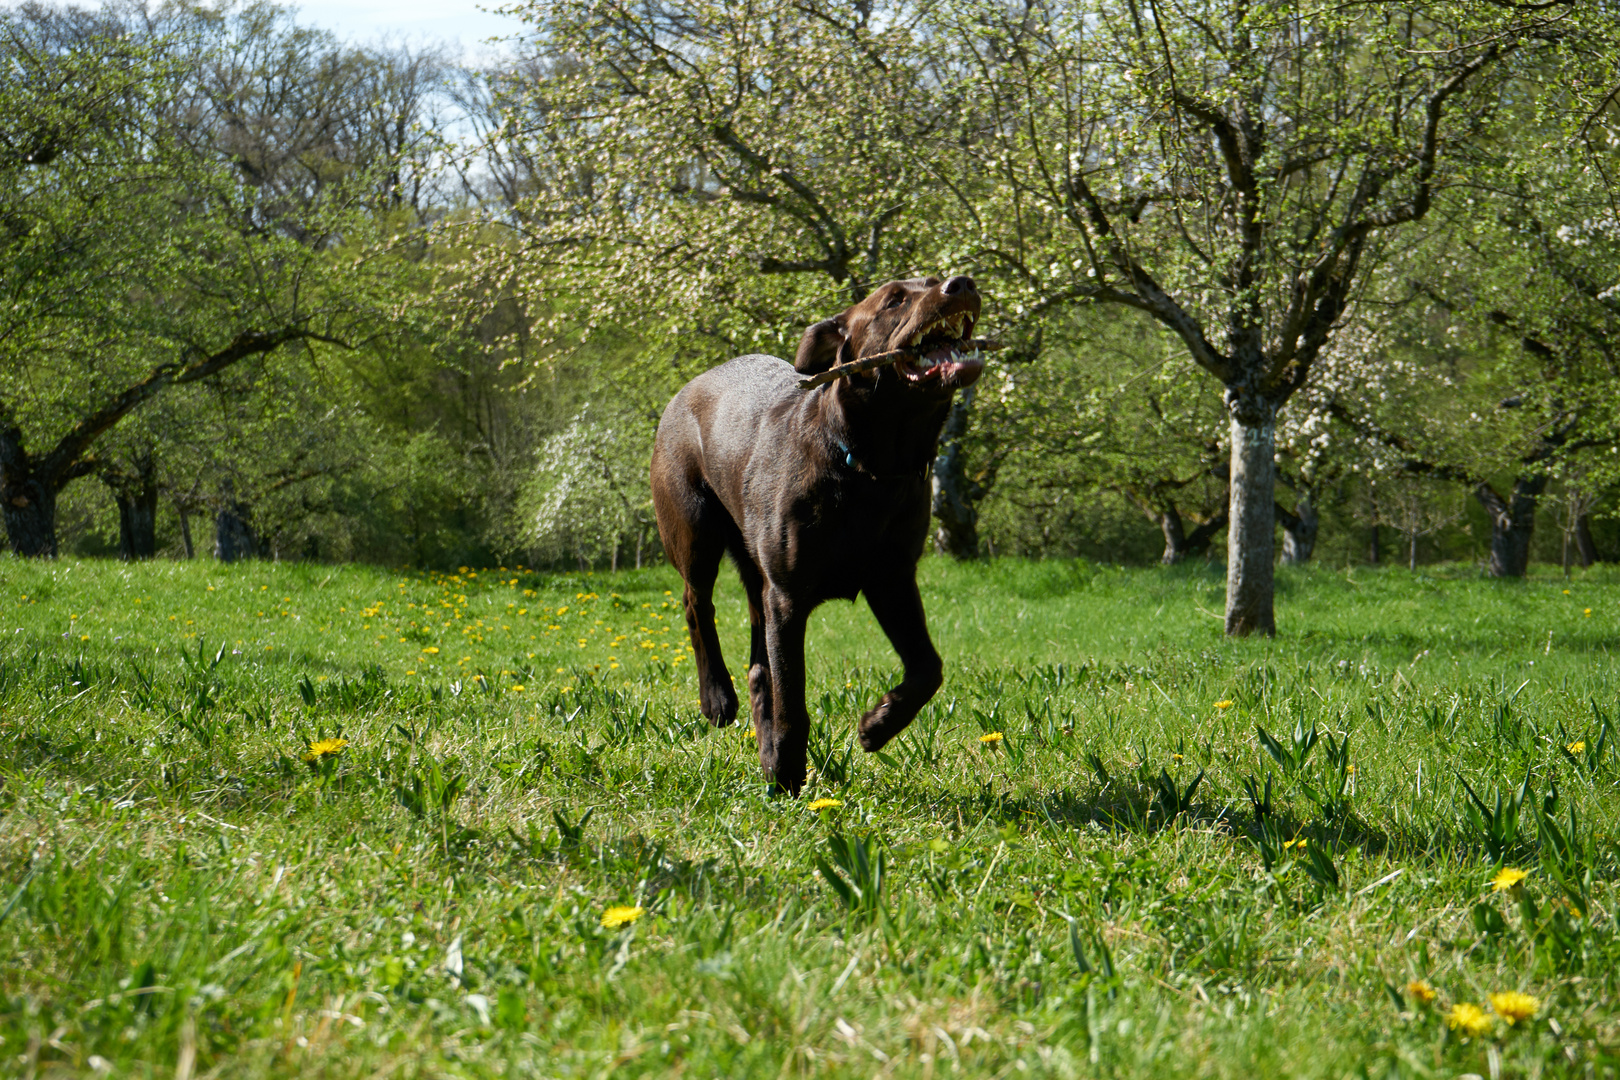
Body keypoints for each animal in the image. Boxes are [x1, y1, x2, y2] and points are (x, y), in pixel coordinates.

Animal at [648, 272, 978, 793]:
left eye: (932, 278)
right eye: (894, 300)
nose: (960, 282)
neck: (872, 471)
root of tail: (689, 385)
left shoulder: (892, 581)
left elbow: (928, 668)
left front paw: (877, 725)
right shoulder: (787, 597)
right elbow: (792, 700)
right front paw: (786, 775)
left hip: (755, 573)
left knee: (757, 667)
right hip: (694, 530)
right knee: (696, 605)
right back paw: (717, 699)